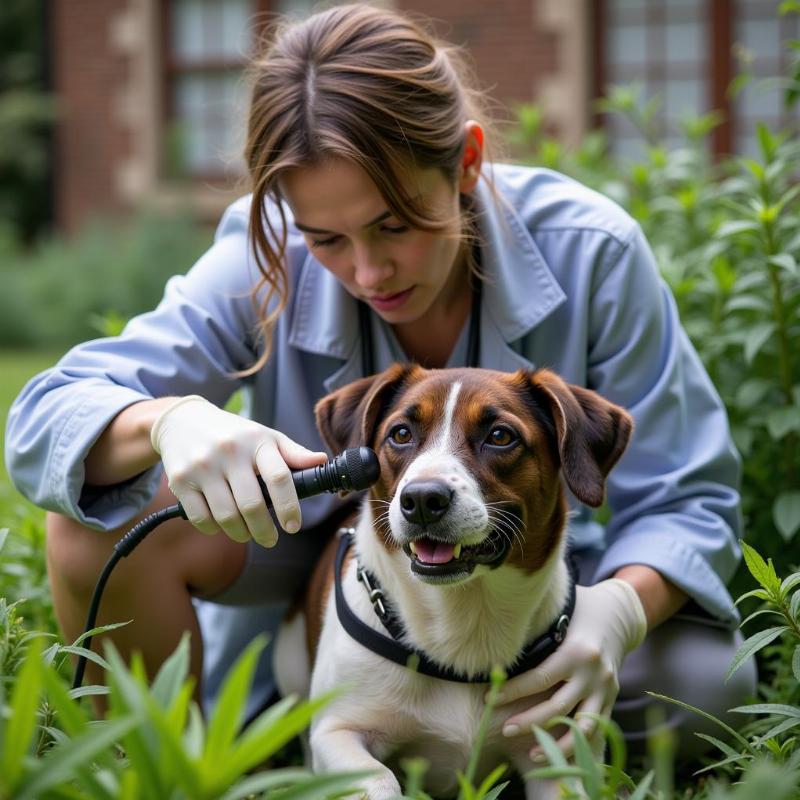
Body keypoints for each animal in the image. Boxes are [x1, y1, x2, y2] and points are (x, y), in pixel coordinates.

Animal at [272, 366, 636, 796]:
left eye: (500, 435)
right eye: (400, 433)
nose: (422, 500)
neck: (463, 615)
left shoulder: (561, 746)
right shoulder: (337, 731)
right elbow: (378, 778)